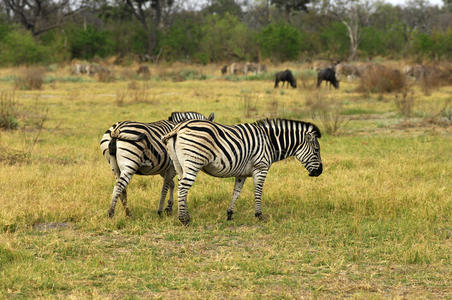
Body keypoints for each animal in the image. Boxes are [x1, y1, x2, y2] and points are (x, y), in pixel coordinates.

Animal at [162, 118, 322, 224]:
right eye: (317, 150)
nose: (319, 172)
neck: (270, 143)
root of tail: (179, 127)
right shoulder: (261, 168)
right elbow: (258, 192)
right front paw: (259, 215)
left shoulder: (241, 174)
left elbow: (236, 193)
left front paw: (229, 214)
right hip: (193, 161)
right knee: (183, 188)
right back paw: (184, 219)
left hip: (179, 165)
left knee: (181, 186)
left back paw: (186, 214)